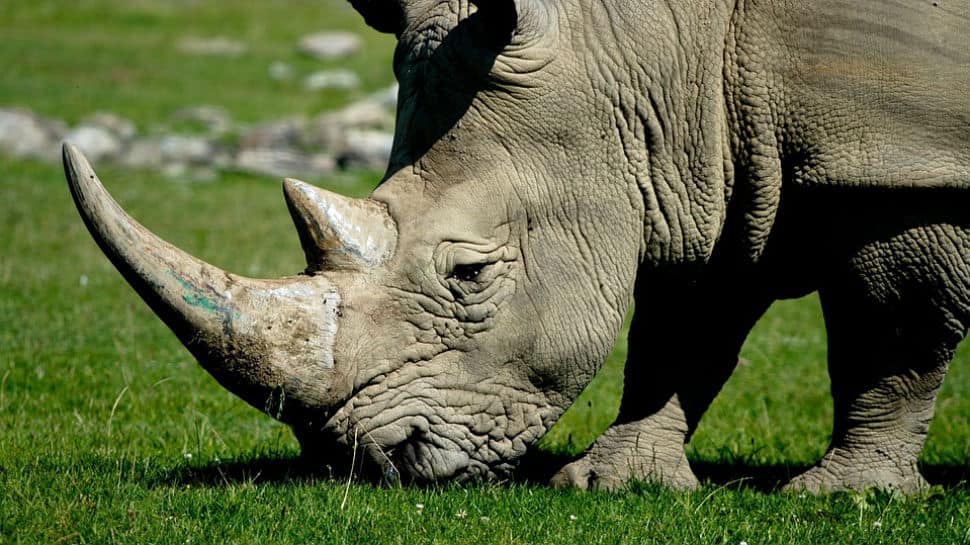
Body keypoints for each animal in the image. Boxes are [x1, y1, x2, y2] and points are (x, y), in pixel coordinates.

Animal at [64, 0, 964, 492]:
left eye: (468, 272)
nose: (371, 463)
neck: (660, 49)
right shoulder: (696, 165)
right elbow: (681, 332)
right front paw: (615, 483)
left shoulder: (901, 164)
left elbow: (893, 334)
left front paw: (843, 496)